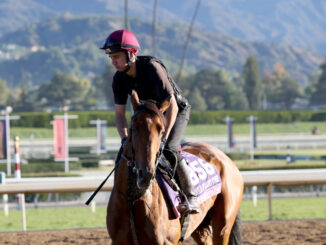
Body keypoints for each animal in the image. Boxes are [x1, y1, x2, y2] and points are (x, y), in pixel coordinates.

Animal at [107, 91, 244, 244]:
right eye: (134, 128)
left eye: (161, 130)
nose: (146, 174)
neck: (133, 199)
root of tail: (226, 158)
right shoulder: (117, 241)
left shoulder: (167, 241)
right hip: (200, 227)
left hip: (223, 226)